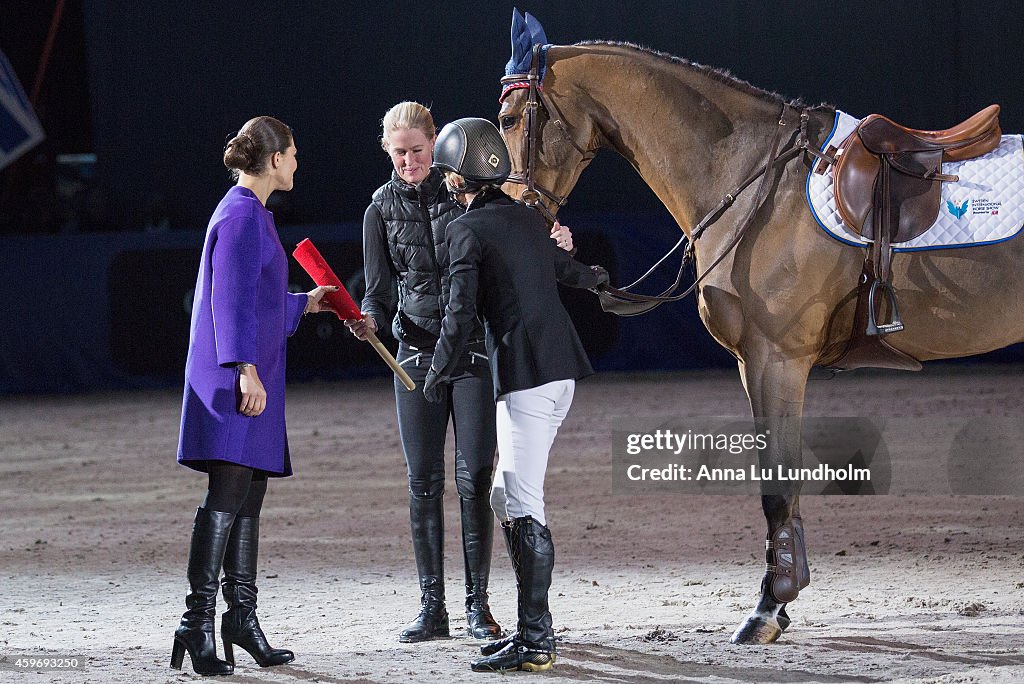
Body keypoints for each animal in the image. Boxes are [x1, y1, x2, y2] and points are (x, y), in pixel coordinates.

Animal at [495, 40, 1024, 643]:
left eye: (508, 120)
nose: (514, 212)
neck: (754, 177)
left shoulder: (777, 360)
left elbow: (777, 481)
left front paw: (770, 605)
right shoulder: (758, 364)